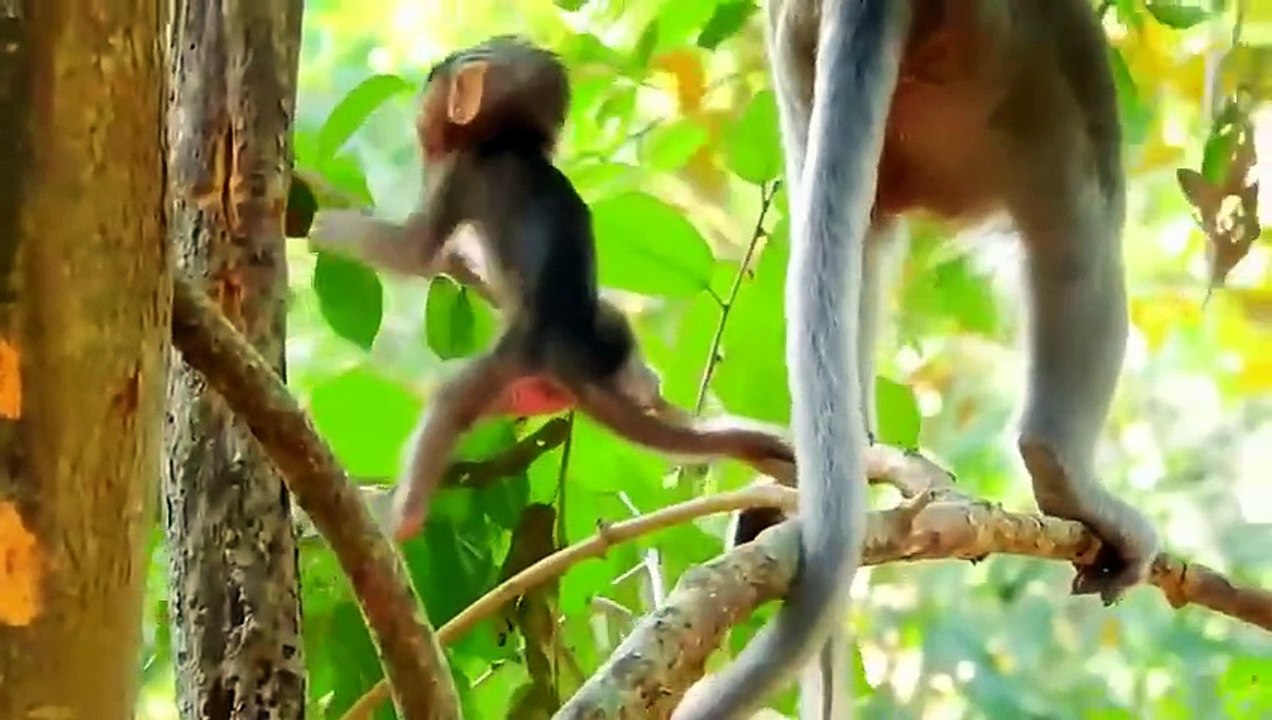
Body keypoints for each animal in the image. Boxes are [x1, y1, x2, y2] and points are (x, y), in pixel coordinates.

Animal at [308, 36, 797, 541]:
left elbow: (415, 249)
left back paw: (403, 516)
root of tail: (566, 355)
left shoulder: (460, 176)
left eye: (433, 82)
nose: (420, 113)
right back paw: (644, 386)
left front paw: (323, 224)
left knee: (449, 402)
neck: (507, 140)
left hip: (511, 359)